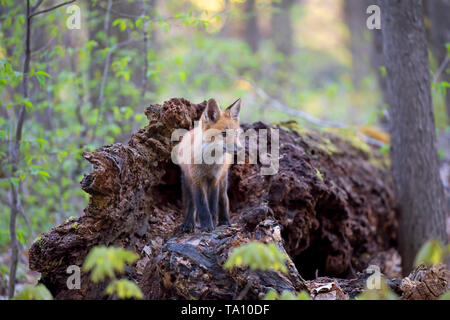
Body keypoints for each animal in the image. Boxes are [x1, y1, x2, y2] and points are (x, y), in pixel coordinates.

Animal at [176, 98, 243, 232]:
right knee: (191, 202)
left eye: (236, 134)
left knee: (223, 199)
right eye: (224, 134)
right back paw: (189, 223)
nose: (239, 148)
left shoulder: (214, 180)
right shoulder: (196, 179)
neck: (208, 165)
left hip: (223, 180)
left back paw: (224, 220)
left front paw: (213, 222)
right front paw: (206, 225)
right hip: (186, 180)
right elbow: (201, 205)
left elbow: (213, 205)